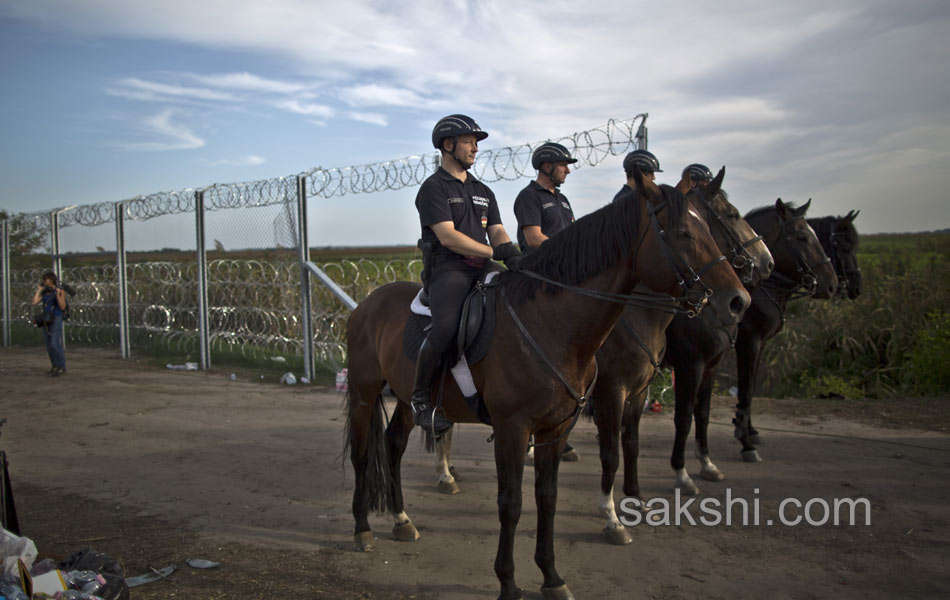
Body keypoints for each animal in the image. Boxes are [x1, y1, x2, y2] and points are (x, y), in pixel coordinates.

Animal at [344, 170, 752, 600]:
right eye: (683, 233)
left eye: (708, 227)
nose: (739, 301)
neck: (551, 322)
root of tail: (368, 301)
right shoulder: (516, 427)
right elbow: (513, 502)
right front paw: (509, 582)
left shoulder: (557, 428)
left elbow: (548, 497)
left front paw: (552, 576)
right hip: (363, 394)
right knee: (362, 455)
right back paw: (362, 528)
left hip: (408, 400)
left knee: (393, 446)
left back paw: (401, 519)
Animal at [736, 206, 864, 460]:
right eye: (845, 246)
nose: (855, 287)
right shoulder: (749, 342)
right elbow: (745, 390)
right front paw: (746, 441)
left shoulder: (759, 344)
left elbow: (751, 386)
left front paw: (751, 430)